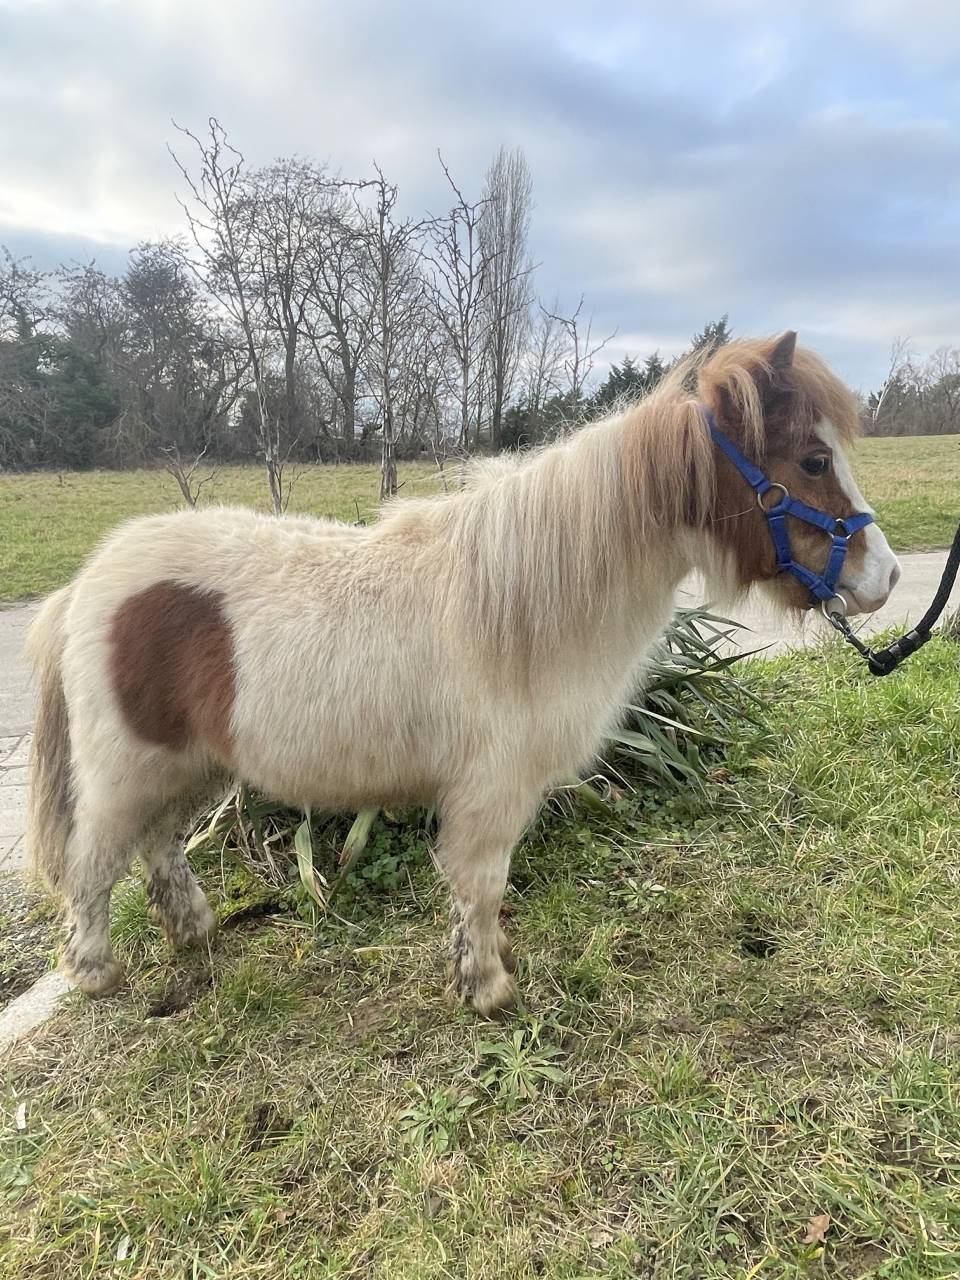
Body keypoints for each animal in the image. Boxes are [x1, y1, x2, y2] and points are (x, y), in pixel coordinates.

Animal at [26, 332, 900, 1016]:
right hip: (125, 770)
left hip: (186, 765)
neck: (527, 604)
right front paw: (487, 987)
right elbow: (481, 882)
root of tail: (89, 583)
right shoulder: (493, 789)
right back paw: (96, 972)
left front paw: (478, 970)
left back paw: (193, 931)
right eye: (813, 459)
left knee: (158, 844)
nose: (884, 578)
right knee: (96, 862)